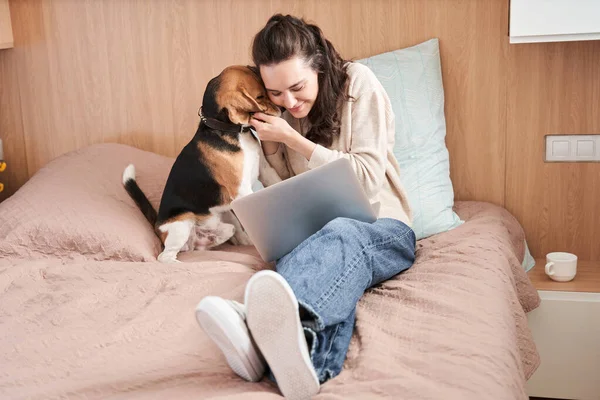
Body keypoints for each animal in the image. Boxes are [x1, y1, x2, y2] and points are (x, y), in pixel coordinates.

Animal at [123, 66, 282, 262]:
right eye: (260, 97)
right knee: (164, 256)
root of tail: (157, 224)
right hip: (181, 226)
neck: (228, 131)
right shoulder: (242, 190)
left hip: (225, 223)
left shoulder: (265, 170)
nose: (281, 108)